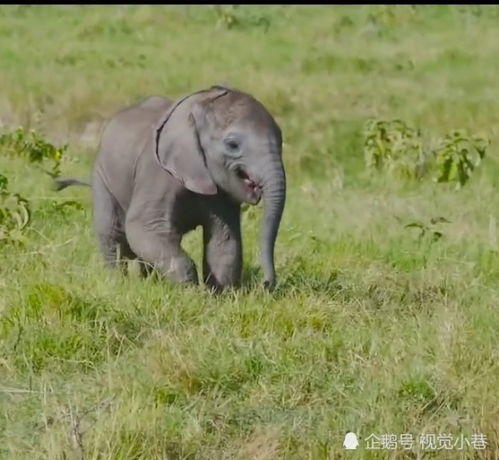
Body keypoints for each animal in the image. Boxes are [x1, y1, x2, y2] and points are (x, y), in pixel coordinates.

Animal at [55, 86, 288, 292]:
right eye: (232, 145)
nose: (267, 284)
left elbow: (224, 240)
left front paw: (221, 297)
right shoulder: (156, 174)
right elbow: (143, 228)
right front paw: (191, 294)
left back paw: (150, 282)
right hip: (102, 177)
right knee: (111, 233)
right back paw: (118, 283)